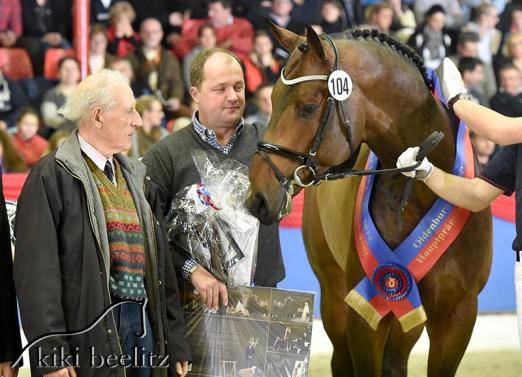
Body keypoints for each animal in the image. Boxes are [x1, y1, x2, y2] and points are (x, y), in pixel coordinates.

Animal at [246, 24, 490, 376]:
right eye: (272, 98)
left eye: (308, 107)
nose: (259, 195)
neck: (419, 193)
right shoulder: (364, 314)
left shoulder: (457, 317)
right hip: (335, 300)